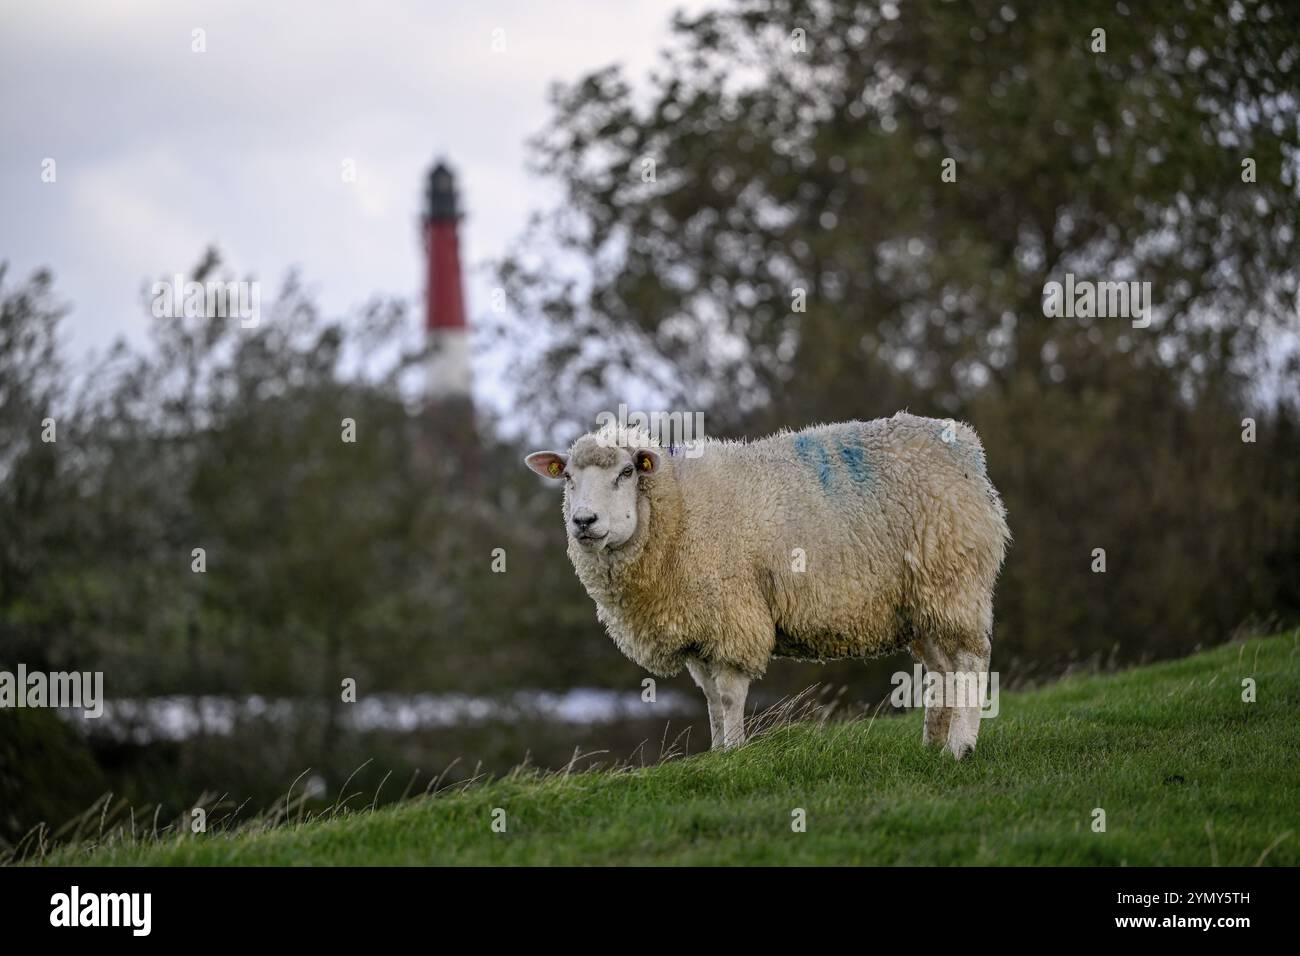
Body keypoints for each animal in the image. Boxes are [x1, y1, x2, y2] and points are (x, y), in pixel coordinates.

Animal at [522, 416, 1008, 759]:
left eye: (626, 472)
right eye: (567, 478)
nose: (583, 521)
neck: (676, 511)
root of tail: (967, 448)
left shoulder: (731, 614)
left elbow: (729, 692)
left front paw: (735, 754)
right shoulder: (697, 626)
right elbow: (711, 699)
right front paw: (717, 753)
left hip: (953, 577)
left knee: (971, 659)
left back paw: (960, 748)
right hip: (922, 602)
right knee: (943, 668)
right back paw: (934, 745)